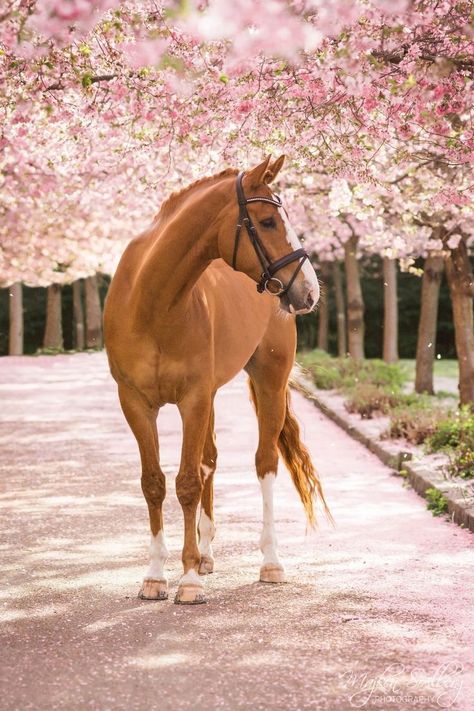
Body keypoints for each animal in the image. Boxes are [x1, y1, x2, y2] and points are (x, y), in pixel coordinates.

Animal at [104, 157, 330, 608]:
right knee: (209, 460)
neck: (153, 303)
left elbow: (187, 483)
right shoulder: (136, 403)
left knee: (264, 463)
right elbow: (154, 483)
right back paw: (206, 554)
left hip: (269, 383)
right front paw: (155, 576)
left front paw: (189, 581)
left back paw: (269, 562)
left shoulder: (192, 399)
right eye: (267, 221)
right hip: (209, 397)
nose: (309, 290)